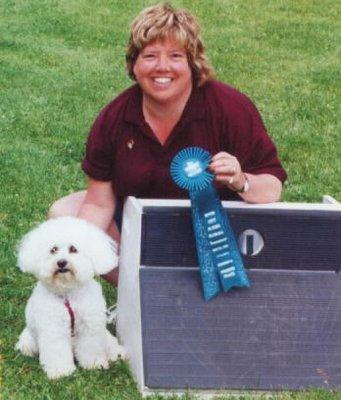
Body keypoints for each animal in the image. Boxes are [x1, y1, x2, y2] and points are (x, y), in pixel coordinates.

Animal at [15, 217, 125, 380]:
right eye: (53, 250)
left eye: (73, 249)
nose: (61, 262)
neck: (68, 295)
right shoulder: (53, 328)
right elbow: (57, 351)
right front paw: (60, 371)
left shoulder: (90, 326)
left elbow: (91, 347)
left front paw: (94, 364)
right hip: (29, 339)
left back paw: (118, 353)